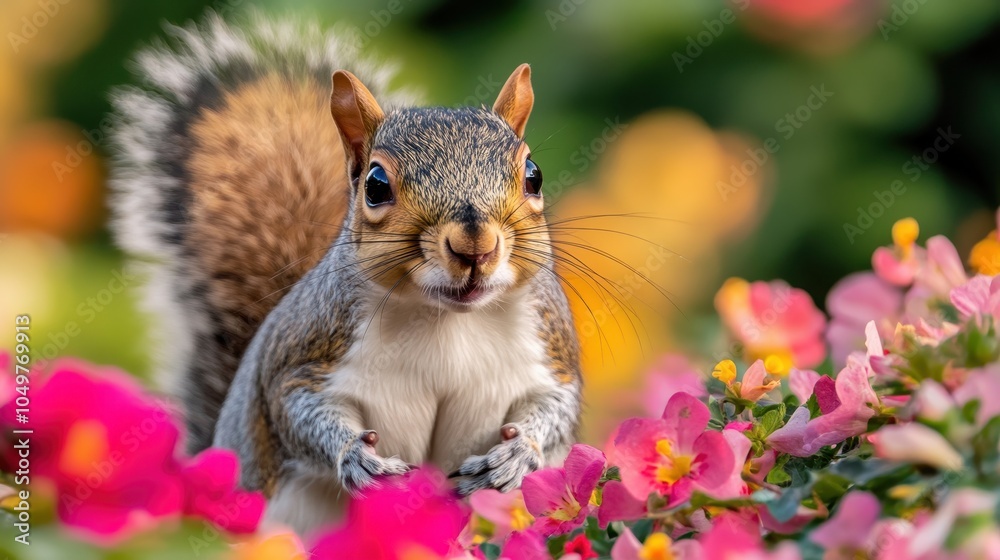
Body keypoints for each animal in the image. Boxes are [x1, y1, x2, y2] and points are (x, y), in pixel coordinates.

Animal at [108, 13, 582, 534]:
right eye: (375, 186)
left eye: (533, 175)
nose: (474, 245)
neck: (445, 319)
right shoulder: (307, 354)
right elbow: (295, 410)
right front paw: (355, 457)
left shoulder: (549, 354)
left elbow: (558, 407)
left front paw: (518, 455)